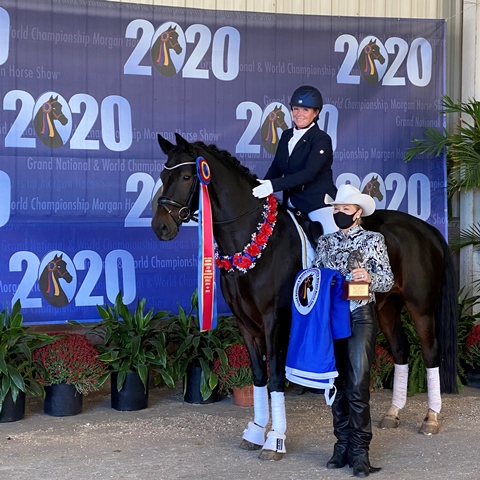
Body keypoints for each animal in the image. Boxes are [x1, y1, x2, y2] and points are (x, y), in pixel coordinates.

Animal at [153, 133, 458, 460]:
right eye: (162, 176)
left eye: (186, 177)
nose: (160, 227)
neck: (253, 240)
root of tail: (426, 229)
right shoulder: (245, 323)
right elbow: (258, 377)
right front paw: (256, 432)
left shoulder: (274, 320)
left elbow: (275, 377)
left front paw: (275, 440)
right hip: (388, 306)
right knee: (401, 350)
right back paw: (392, 414)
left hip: (421, 308)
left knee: (430, 353)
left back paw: (430, 418)